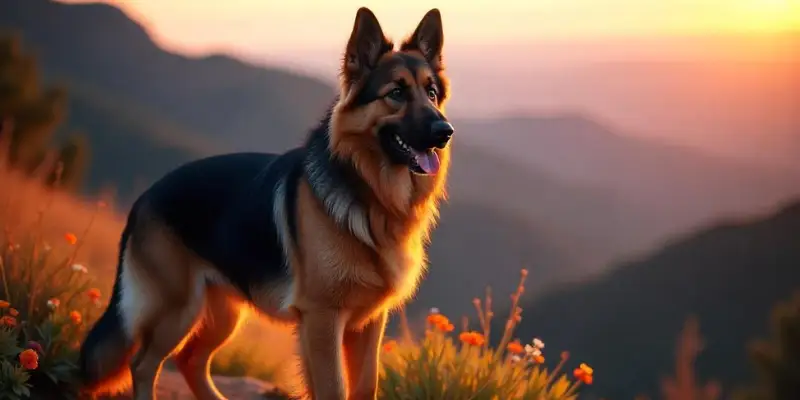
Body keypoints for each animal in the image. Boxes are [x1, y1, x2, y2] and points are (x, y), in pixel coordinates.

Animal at [79, 7, 456, 400]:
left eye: (431, 93)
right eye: (396, 92)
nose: (445, 132)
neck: (370, 194)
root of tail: (145, 195)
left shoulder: (368, 323)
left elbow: (366, 386)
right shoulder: (322, 319)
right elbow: (333, 388)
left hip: (224, 314)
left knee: (189, 360)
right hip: (178, 309)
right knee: (143, 364)